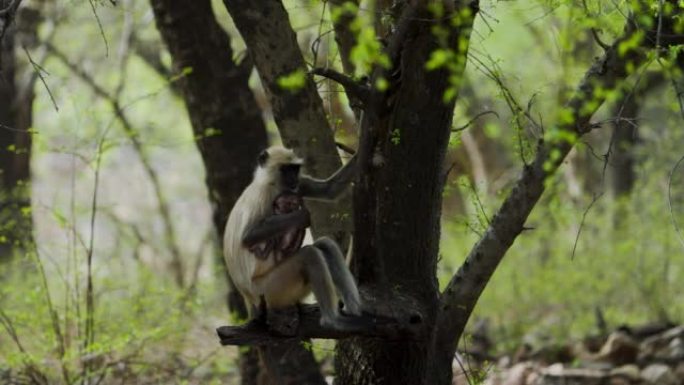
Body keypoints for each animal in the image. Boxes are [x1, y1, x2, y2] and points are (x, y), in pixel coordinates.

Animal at [224, 146, 366, 328]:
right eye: (285, 170)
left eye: (294, 169)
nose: (292, 178)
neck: (274, 184)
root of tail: (249, 300)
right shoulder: (264, 194)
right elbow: (248, 237)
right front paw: (301, 217)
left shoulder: (297, 185)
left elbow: (329, 189)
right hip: (269, 290)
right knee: (310, 255)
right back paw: (332, 321)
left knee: (325, 245)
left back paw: (352, 310)